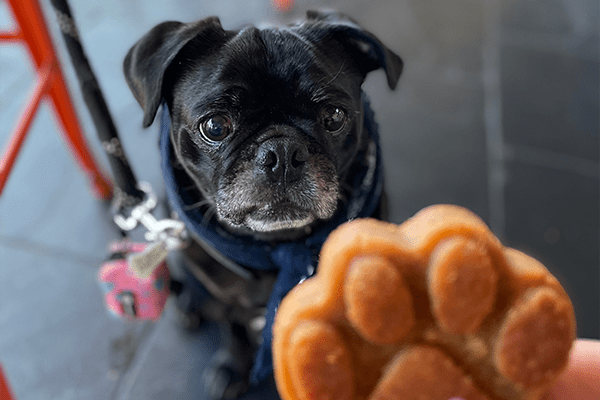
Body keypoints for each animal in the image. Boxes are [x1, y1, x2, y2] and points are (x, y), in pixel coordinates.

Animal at [123, 10, 400, 400]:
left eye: (334, 117)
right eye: (215, 126)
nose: (282, 153)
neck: (279, 248)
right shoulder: (226, 302)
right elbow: (234, 331)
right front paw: (232, 367)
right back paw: (187, 303)